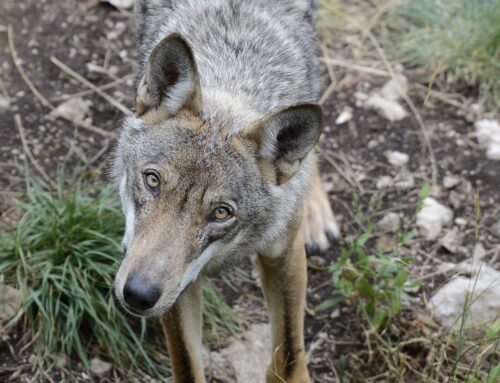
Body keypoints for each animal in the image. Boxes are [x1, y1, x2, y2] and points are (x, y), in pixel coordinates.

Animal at [113, 1, 340, 382]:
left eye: (221, 212)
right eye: (152, 180)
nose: (138, 295)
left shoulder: (283, 253)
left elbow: (289, 354)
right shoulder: (177, 286)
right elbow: (188, 366)